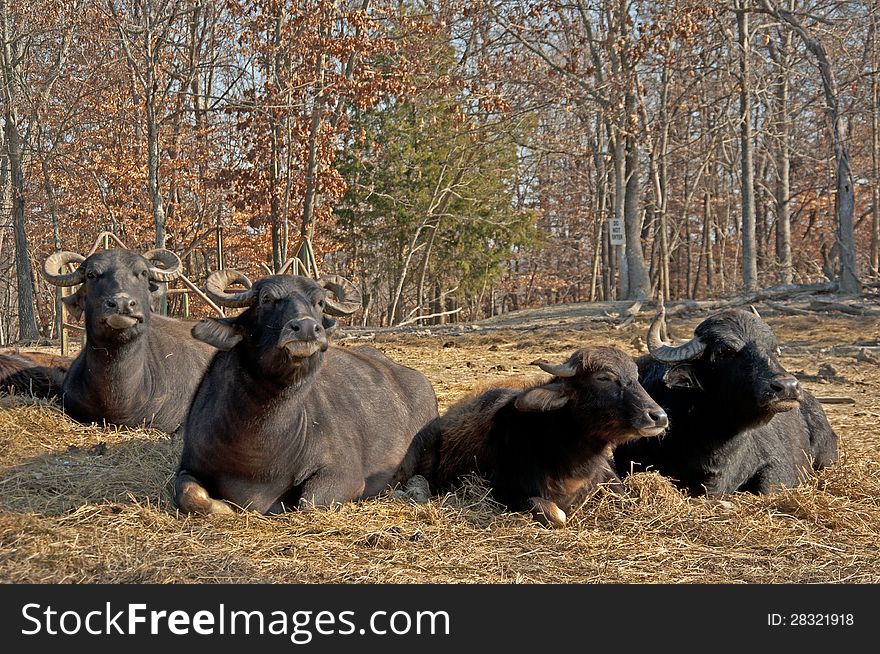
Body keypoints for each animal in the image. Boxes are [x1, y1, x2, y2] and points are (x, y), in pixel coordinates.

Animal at [173, 270, 440, 516]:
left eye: (320, 302)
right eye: (266, 298)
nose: (307, 328)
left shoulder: (344, 475)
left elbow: (309, 502)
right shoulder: (188, 466)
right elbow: (188, 494)